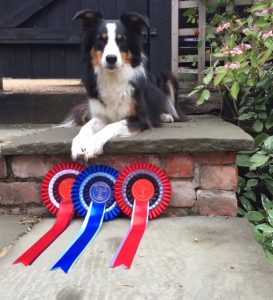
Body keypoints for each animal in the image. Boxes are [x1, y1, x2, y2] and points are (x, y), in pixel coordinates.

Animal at [62, 9, 184, 161]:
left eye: (121, 40)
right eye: (101, 40)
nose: (111, 58)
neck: (113, 77)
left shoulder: (140, 119)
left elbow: (112, 126)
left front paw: (92, 144)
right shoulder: (101, 116)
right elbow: (85, 127)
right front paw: (78, 144)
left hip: (168, 77)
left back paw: (165, 116)